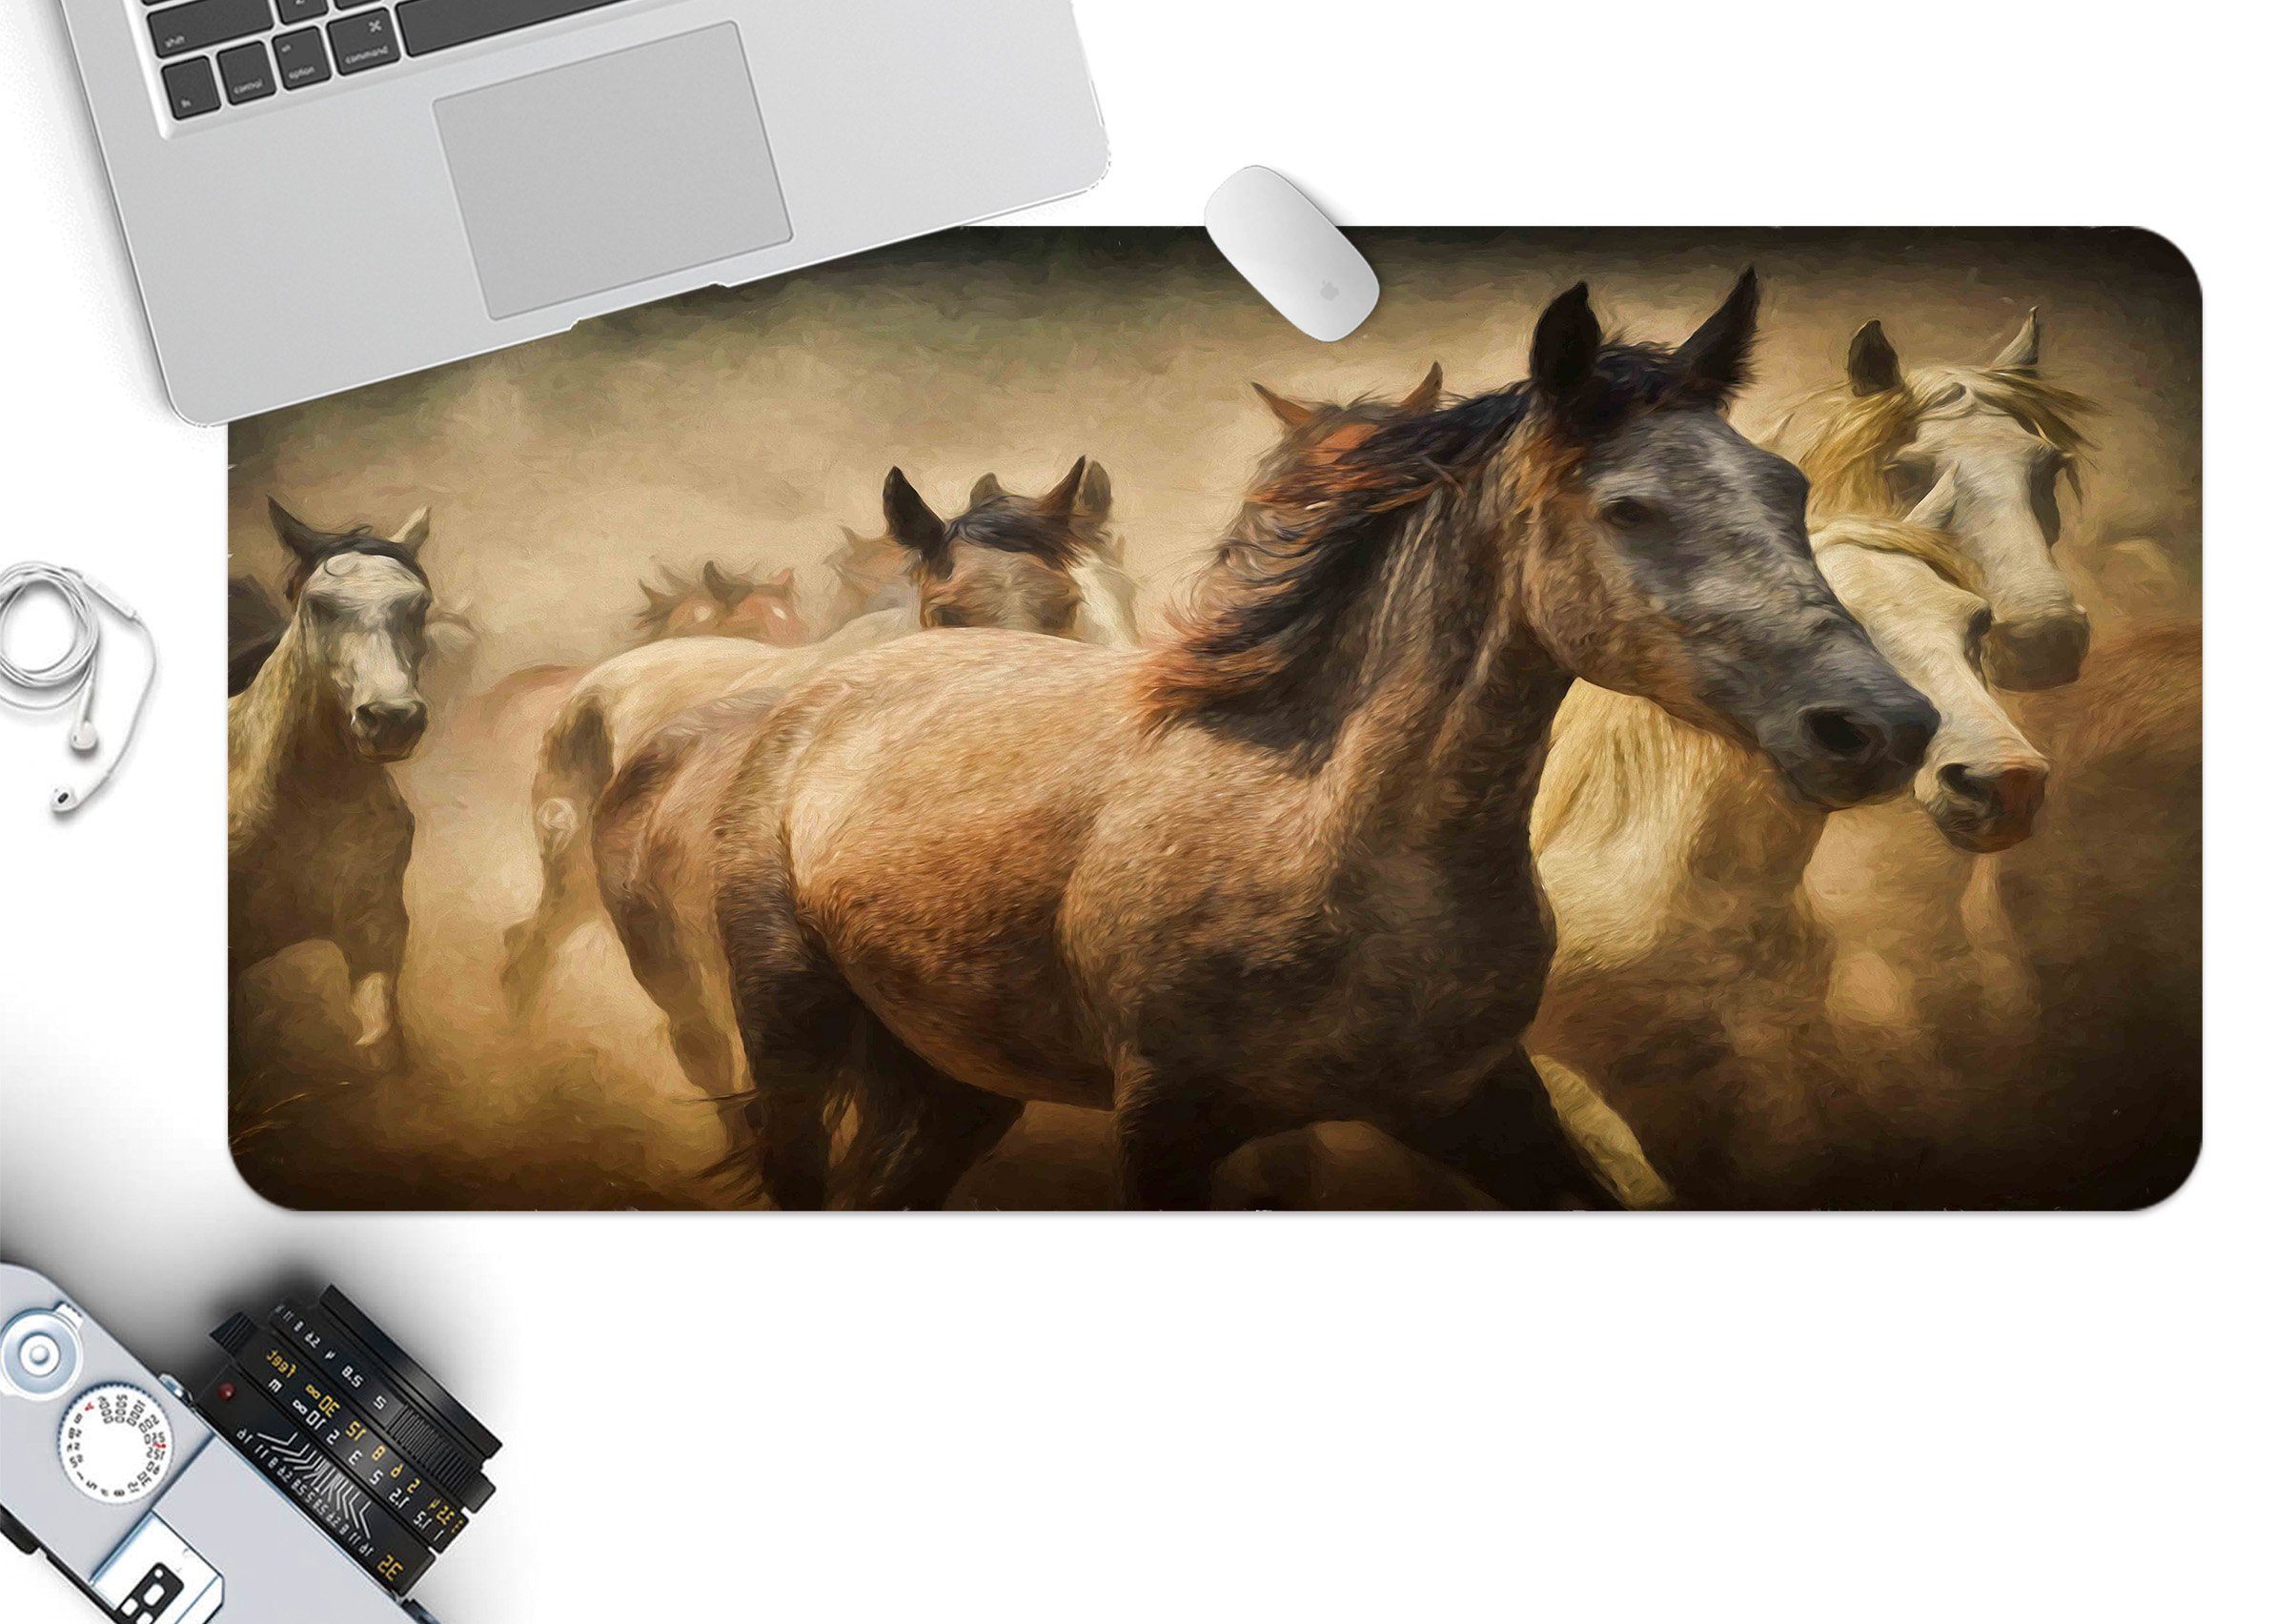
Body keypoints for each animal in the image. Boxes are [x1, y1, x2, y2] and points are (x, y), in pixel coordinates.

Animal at [672, 272, 1938, 1210]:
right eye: (1628, 506)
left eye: (1787, 487)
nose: (1880, 726)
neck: (1326, 836)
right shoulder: (1167, 1128)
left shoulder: (1477, 1098)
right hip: (791, 1037)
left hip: (958, 1079)